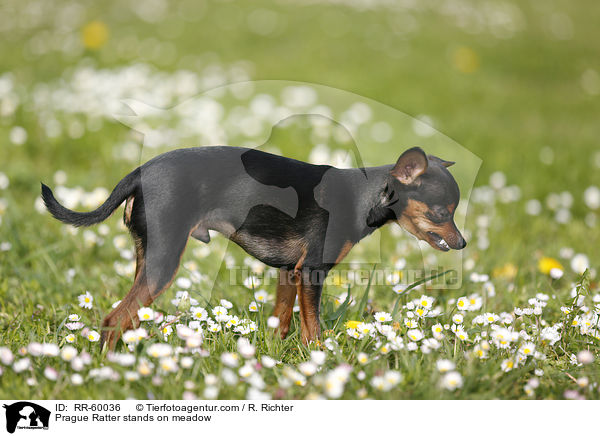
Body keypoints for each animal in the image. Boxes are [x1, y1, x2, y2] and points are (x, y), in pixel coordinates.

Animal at [41, 146, 464, 348]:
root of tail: (138, 174)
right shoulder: (311, 272)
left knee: (126, 319)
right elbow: (313, 328)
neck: (365, 196)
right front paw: (320, 360)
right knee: (114, 321)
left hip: (146, 260)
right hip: (164, 262)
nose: (463, 242)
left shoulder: (289, 273)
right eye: (441, 211)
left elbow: (283, 321)